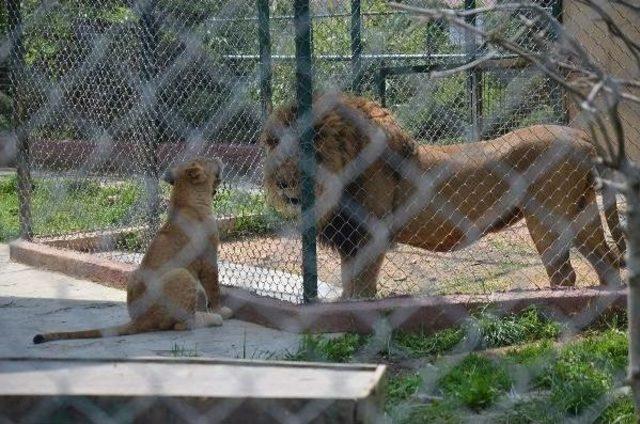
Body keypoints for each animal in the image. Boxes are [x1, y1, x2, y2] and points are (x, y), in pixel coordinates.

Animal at [32, 157, 232, 342]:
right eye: (209, 160)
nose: (219, 158)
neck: (184, 200)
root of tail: (141, 319)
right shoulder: (209, 257)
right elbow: (213, 289)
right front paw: (220, 310)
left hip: (136, 273)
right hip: (182, 274)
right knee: (181, 324)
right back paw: (214, 318)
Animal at [260, 93, 624, 298]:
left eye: (304, 151)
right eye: (275, 146)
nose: (282, 183)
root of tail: (582, 137)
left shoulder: (369, 235)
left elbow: (361, 286)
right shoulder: (351, 239)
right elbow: (350, 283)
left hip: (546, 218)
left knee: (565, 273)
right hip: (582, 213)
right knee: (605, 262)